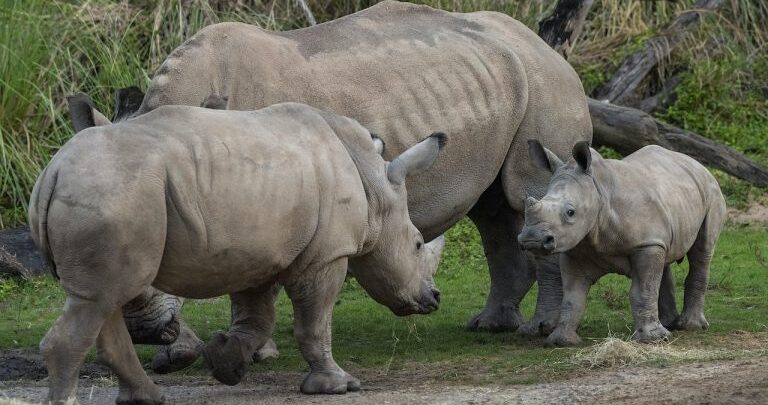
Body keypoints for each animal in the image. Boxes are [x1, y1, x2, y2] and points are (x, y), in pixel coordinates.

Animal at [29, 100, 447, 403]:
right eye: (417, 244)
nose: (434, 298)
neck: (374, 187)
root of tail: (53, 172)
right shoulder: (326, 255)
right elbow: (314, 321)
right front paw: (338, 386)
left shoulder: (257, 254)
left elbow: (256, 318)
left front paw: (225, 363)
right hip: (112, 194)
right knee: (99, 301)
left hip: (109, 195)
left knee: (103, 299)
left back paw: (148, 398)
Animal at [113, 0, 593, 373]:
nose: (143, 332)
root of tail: (544, 45)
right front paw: (180, 358)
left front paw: (254, 353)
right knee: (492, 210)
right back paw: (490, 325)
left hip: (548, 85)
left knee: (529, 193)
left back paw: (537, 331)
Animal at [518, 141, 727, 346]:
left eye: (570, 212)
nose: (532, 239)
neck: (598, 191)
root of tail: (696, 164)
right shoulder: (575, 250)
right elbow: (572, 297)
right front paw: (562, 341)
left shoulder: (645, 243)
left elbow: (642, 290)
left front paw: (652, 340)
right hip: (671, 201)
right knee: (663, 257)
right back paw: (668, 324)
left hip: (711, 192)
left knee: (702, 251)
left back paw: (690, 326)